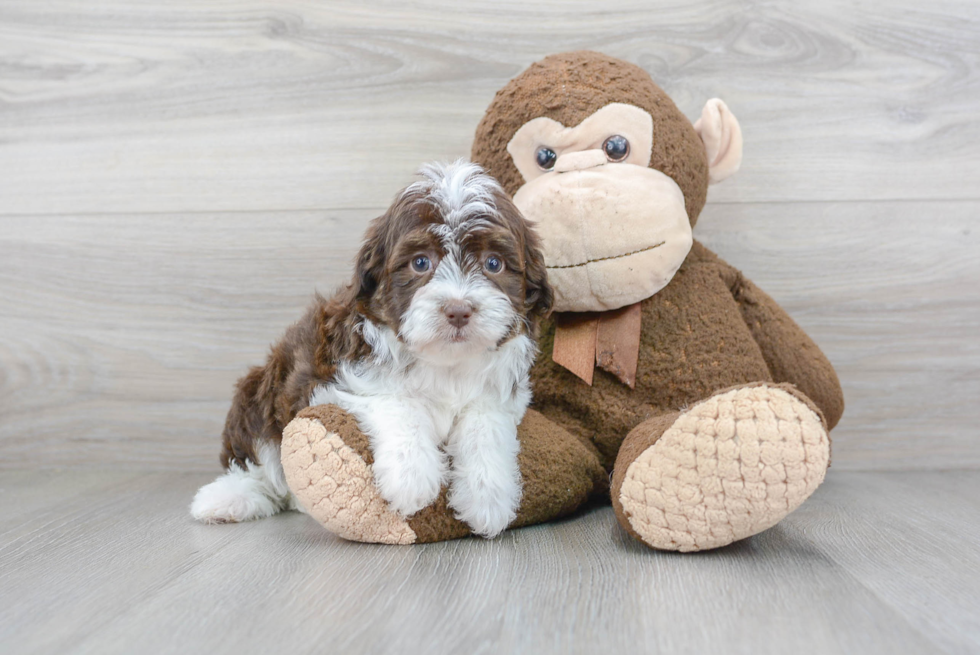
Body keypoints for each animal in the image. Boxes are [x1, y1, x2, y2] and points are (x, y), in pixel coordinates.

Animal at [193, 160, 552, 540]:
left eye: (493, 264)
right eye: (420, 262)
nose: (458, 310)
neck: (445, 363)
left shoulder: (503, 396)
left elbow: (485, 423)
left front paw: (488, 496)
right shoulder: (334, 381)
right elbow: (398, 402)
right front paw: (411, 476)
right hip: (258, 391)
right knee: (258, 460)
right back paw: (227, 499)